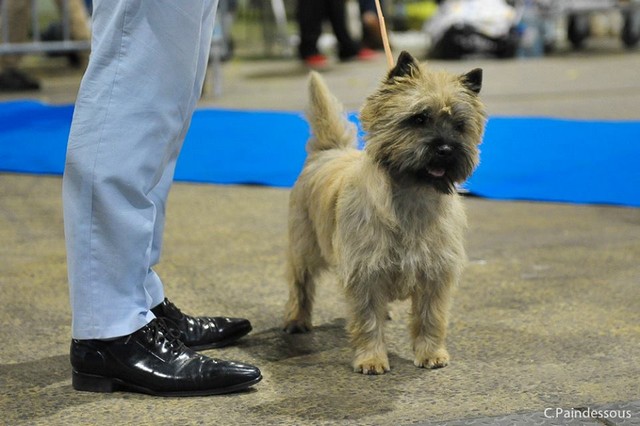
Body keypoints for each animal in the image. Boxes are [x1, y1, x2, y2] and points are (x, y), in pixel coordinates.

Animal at [284, 51, 484, 374]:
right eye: (419, 118)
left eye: (459, 125)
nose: (445, 148)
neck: (412, 195)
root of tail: (330, 151)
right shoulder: (363, 272)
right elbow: (366, 320)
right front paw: (372, 359)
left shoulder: (435, 275)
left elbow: (431, 318)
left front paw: (431, 354)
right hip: (305, 247)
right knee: (300, 282)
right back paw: (296, 320)